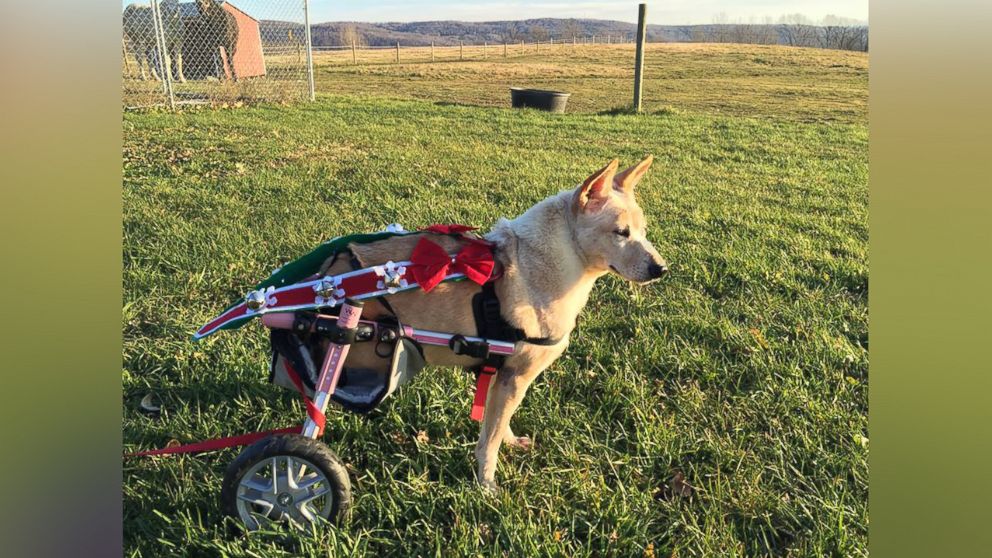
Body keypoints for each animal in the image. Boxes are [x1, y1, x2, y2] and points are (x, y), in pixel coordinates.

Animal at [322, 155, 672, 492]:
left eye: (643, 230)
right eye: (620, 232)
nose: (662, 269)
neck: (552, 260)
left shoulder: (500, 375)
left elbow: (499, 422)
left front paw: (508, 442)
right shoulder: (516, 376)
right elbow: (489, 439)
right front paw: (486, 485)